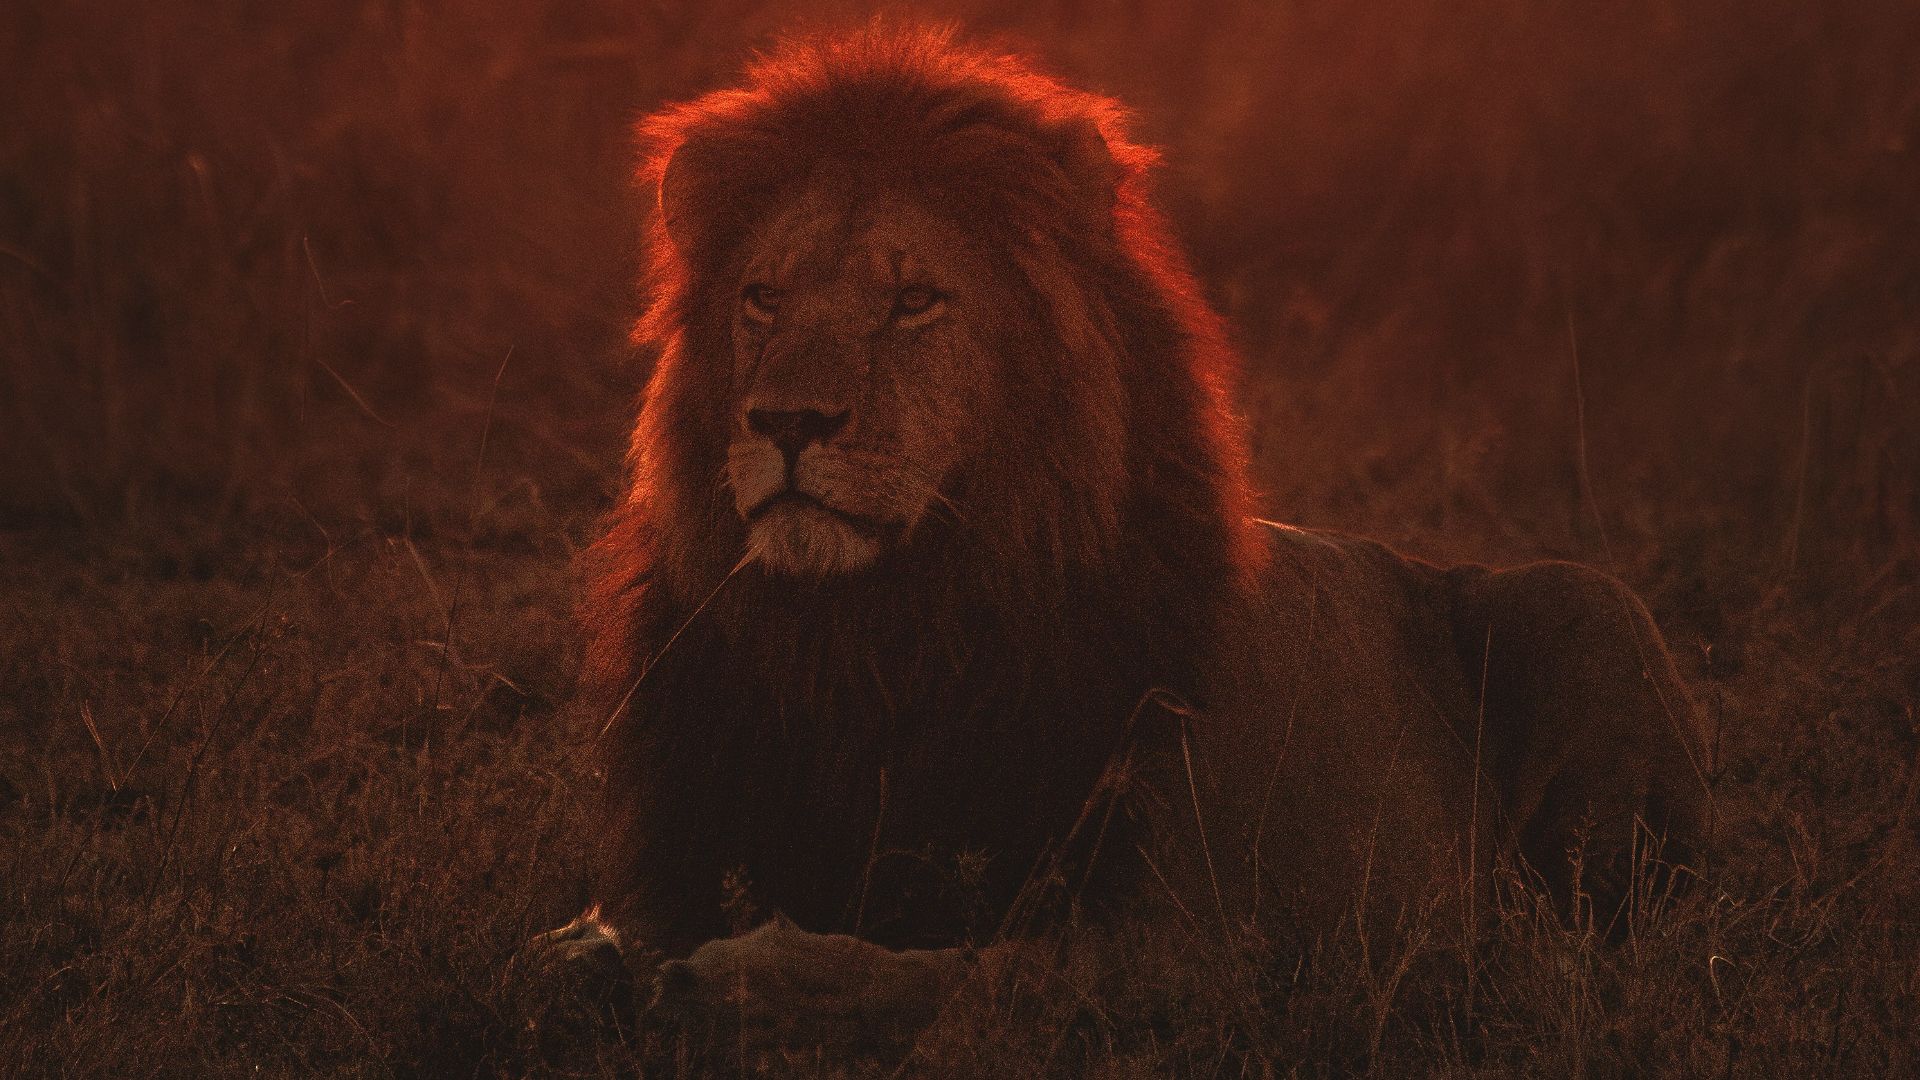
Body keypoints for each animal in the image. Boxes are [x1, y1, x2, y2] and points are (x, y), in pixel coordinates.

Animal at [544, 25, 1712, 1050]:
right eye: (763, 298)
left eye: (914, 299)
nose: (787, 422)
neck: (872, 637)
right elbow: (570, 952)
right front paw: (617, 965)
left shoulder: (1211, 945)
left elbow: (977, 979)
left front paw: (748, 980)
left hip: (1586, 605)